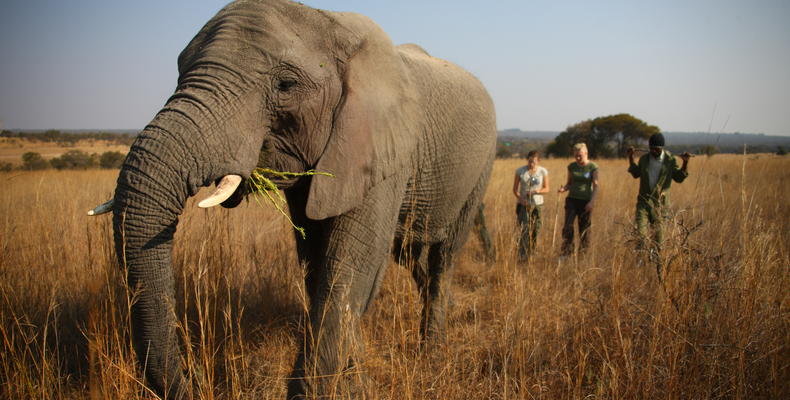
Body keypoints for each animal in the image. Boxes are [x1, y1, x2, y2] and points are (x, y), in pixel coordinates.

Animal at [88, 1, 496, 398]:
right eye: (178, 73)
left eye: (285, 85)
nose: (193, 380)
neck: (332, 22)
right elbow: (317, 265)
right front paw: (354, 385)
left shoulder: (383, 151)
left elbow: (349, 268)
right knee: (410, 254)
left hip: (481, 169)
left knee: (444, 256)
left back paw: (432, 349)